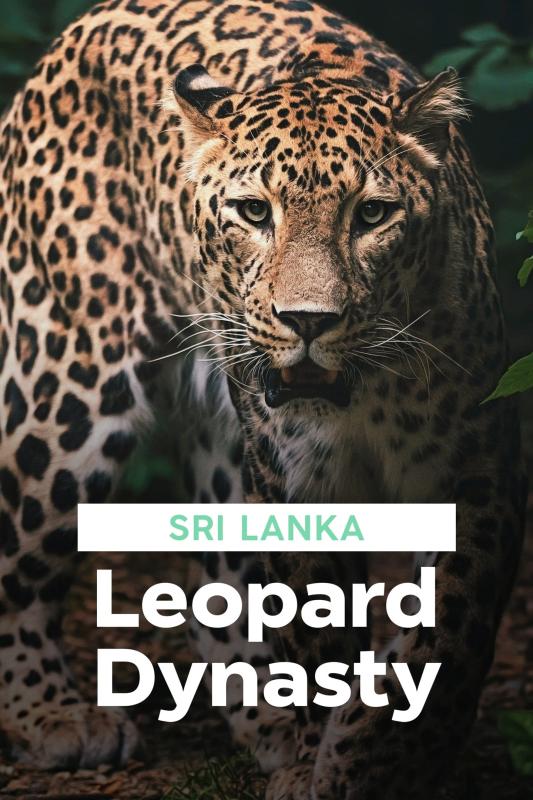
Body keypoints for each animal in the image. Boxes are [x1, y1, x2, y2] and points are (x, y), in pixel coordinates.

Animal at [0, 0, 527, 798]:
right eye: (253, 212)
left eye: (372, 215)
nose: (307, 321)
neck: (366, 396)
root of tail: (80, 28)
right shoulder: (298, 479)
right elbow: (318, 629)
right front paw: (331, 762)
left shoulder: (477, 470)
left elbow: (449, 627)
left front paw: (382, 755)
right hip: (63, 384)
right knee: (19, 559)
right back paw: (54, 716)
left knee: (215, 584)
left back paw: (267, 717)